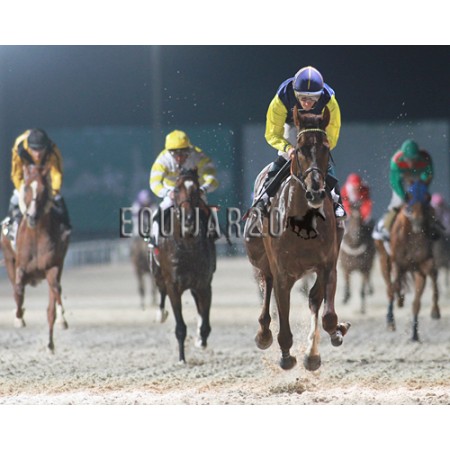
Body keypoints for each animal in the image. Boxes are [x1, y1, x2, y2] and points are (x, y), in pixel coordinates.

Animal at [0, 163, 70, 353]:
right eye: (26, 187)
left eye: (44, 190)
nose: (32, 216)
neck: (36, 235)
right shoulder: (20, 267)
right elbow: (18, 291)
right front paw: (19, 317)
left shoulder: (53, 267)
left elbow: (56, 292)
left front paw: (62, 319)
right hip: (8, 258)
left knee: (52, 299)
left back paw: (51, 343)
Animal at [151, 168, 216, 363]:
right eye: (177, 189)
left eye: (196, 190)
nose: (188, 219)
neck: (187, 244)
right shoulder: (173, 285)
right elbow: (180, 326)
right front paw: (181, 358)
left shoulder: (204, 284)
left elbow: (205, 321)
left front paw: (201, 340)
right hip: (158, 274)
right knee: (161, 291)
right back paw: (160, 314)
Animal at [245, 107, 350, 372]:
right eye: (300, 148)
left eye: (325, 147)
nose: (315, 192)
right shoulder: (283, 272)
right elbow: (282, 314)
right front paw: (286, 355)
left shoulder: (327, 264)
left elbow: (326, 313)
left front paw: (329, 339)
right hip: (260, 258)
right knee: (266, 284)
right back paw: (264, 334)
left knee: (313, 300)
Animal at [374, 180, 440, 341]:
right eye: (408, 196)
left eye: (428, 196)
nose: (417, 219)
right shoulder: (398, 263)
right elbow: (395, 285)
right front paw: (399, 300)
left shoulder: (423, 265)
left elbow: (417, 302)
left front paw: (415, 333)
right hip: (384, 260)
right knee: (390, 288)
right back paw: (391, 319)